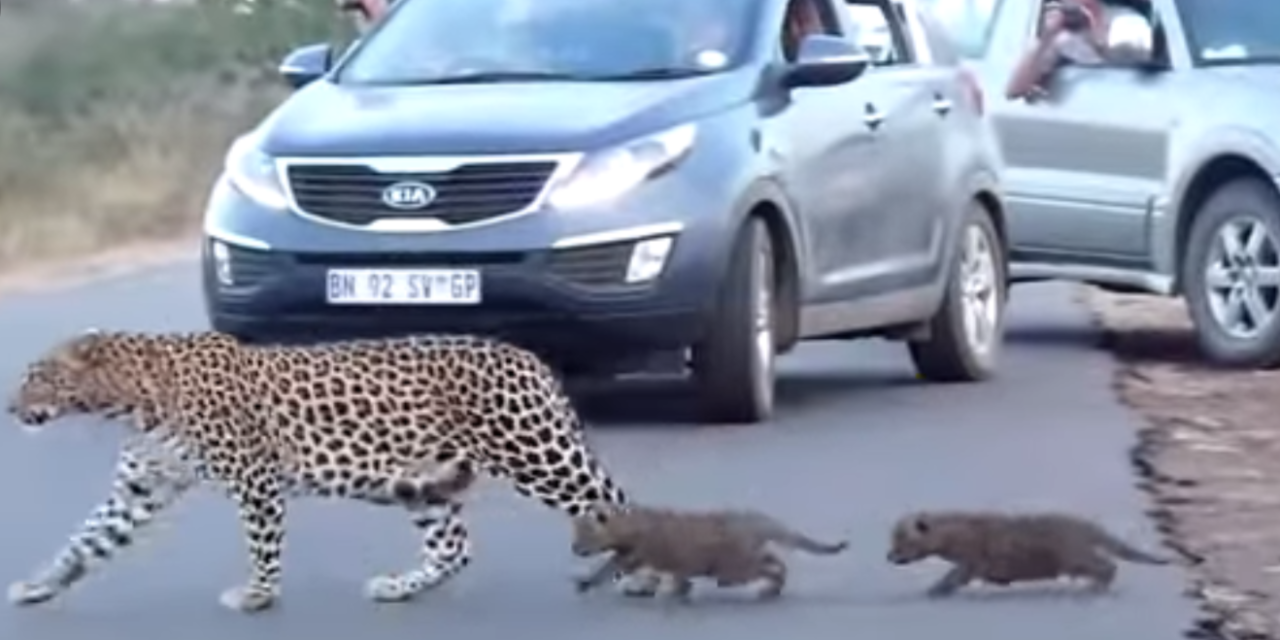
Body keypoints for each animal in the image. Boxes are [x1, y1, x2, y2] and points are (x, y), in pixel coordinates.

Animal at [5, 327, 629, 611]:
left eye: (38, 377)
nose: (10, 409)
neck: (132, 400)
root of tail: (529, 357)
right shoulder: (139, 487)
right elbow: (86, 539)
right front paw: (40, 583)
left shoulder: (254, 479)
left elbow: (261, 543)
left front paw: (257, 595)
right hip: (430, 482)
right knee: (453, 549)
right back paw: (399, 587)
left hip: (539, 454)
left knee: (612, 504)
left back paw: (636, 572)